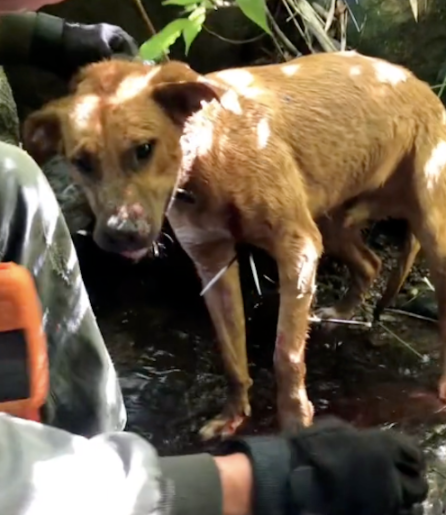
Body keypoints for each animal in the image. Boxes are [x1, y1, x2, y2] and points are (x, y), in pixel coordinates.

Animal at [21, 51, 446, 440]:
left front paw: (295, 424)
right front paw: (232, 417)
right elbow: (230, 354)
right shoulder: (212, 265)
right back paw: (340, 311)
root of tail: (416, 82)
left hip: (430, 231)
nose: (121, 234)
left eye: (143, 149)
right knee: (370, 263)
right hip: (331, 219)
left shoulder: (297, 248)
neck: (211, 153)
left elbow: (285, 354)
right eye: (82, 162)